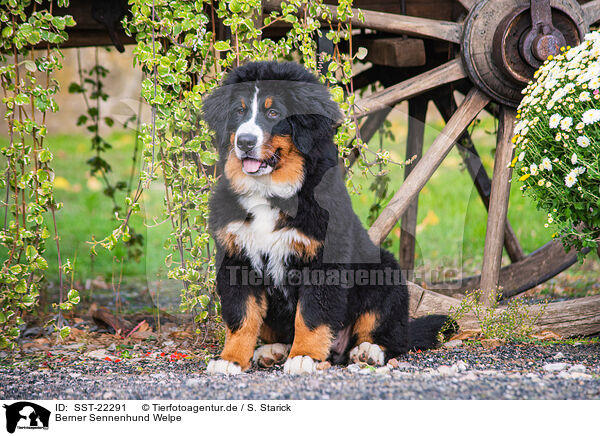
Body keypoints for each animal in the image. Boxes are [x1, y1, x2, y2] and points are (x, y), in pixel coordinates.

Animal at [204, 61, 448, 374]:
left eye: (273, 113)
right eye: (239, 111)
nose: (245, 142)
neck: (269, 193)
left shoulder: (322, 261)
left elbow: (311, 315)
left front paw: (304, 356)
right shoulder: (237, 258)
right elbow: (241, 317)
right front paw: (230, 360)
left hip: (384, 272)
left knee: (392, 336)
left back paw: (367, 351)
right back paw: (273, 350)